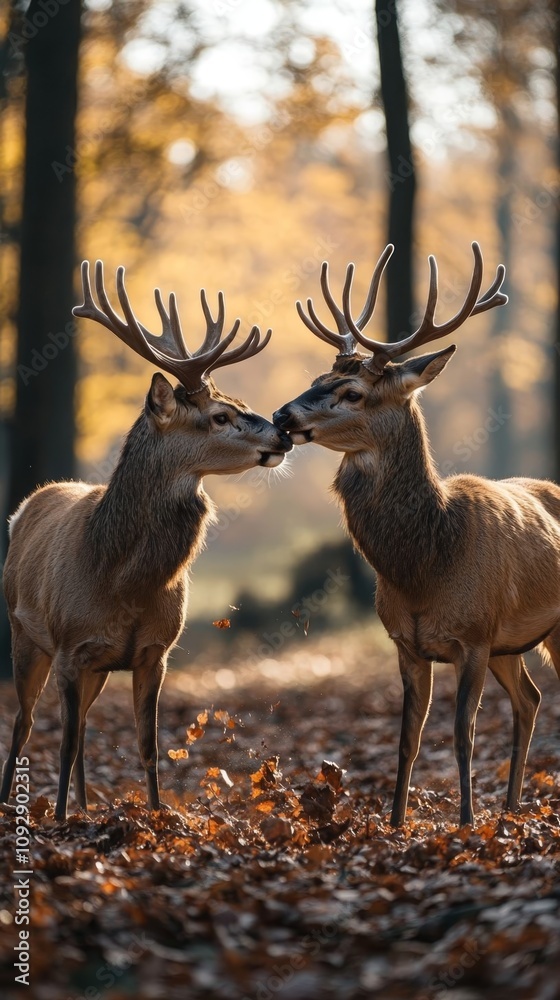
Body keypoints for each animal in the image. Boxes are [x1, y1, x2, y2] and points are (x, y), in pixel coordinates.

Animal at [1, 260, 292, 821]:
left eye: (241, 402)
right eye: (221, 415)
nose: (284, 434)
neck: (119, 579)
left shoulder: (154, 651)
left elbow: (148, 744)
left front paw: (156, 816)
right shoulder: (70, 646)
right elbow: (62, 744)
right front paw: (61, 820)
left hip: (93, 668)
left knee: (81, 728)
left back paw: (85, 806)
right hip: (23, 632)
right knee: (24, 726)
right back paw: (18, 803)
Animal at [273, 242, 560, 827]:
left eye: (352, 392)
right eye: (315, 379)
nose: (281, 415)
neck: (428, 563)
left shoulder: (473, 636)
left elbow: (462, 733)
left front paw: (466, 821)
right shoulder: (408, 642)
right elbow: (408, 738)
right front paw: (396, 821)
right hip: (511, 644)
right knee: (530, 700)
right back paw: (512, 807)